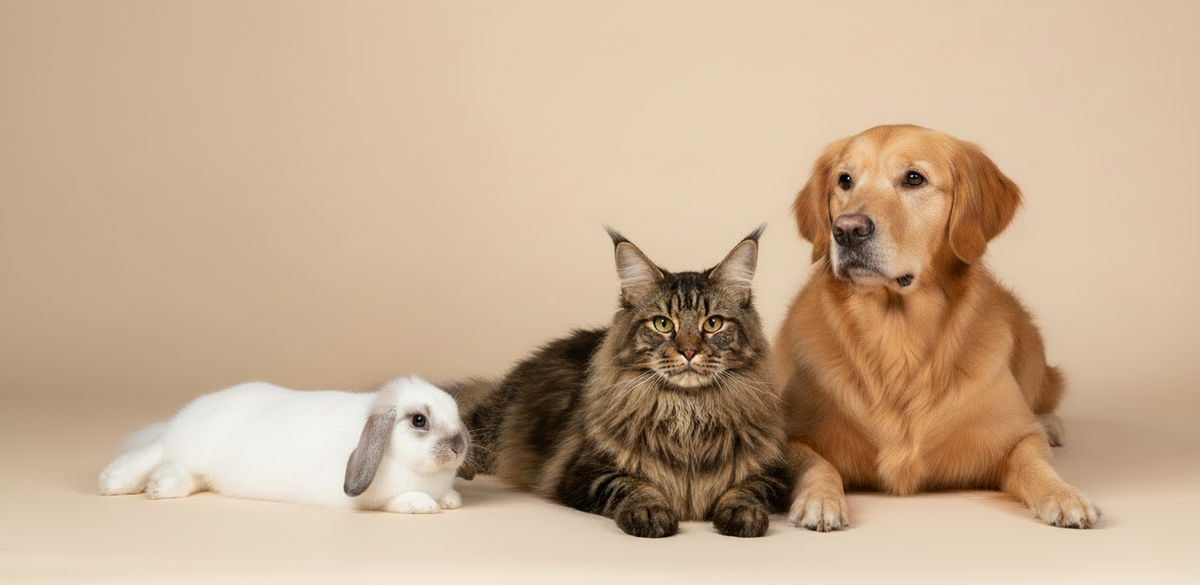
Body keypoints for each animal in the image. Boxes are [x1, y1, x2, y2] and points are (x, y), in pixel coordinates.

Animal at [98, 375, 469, 513]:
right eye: (418, 420)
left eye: (456, 412)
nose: (460, 445)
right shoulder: (374, 498)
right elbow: (399, 500)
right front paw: (424, 503)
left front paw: (450, 499)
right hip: (191, 444)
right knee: (156, 451)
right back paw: (114, 481)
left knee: (182, 471)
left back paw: (160, 485)